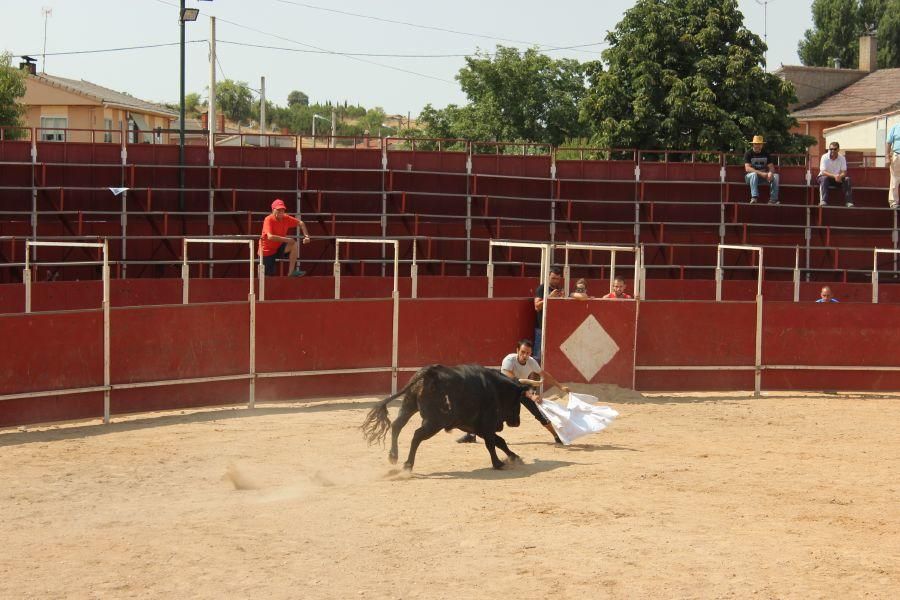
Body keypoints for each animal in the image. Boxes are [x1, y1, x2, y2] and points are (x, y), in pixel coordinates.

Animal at [362, 364, 532, 472]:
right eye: (518, 400)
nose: (517, 423)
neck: (495, 388)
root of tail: (429, 373)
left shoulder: (475, 426)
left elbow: (499, 441)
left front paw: (515, 457)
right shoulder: (486, 424)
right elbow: (491, 443)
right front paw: (497, 463)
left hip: (408, 405)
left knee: (397, 425)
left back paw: (393, 456)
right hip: (434, 422)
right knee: (417, 435)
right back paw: (408, 465)